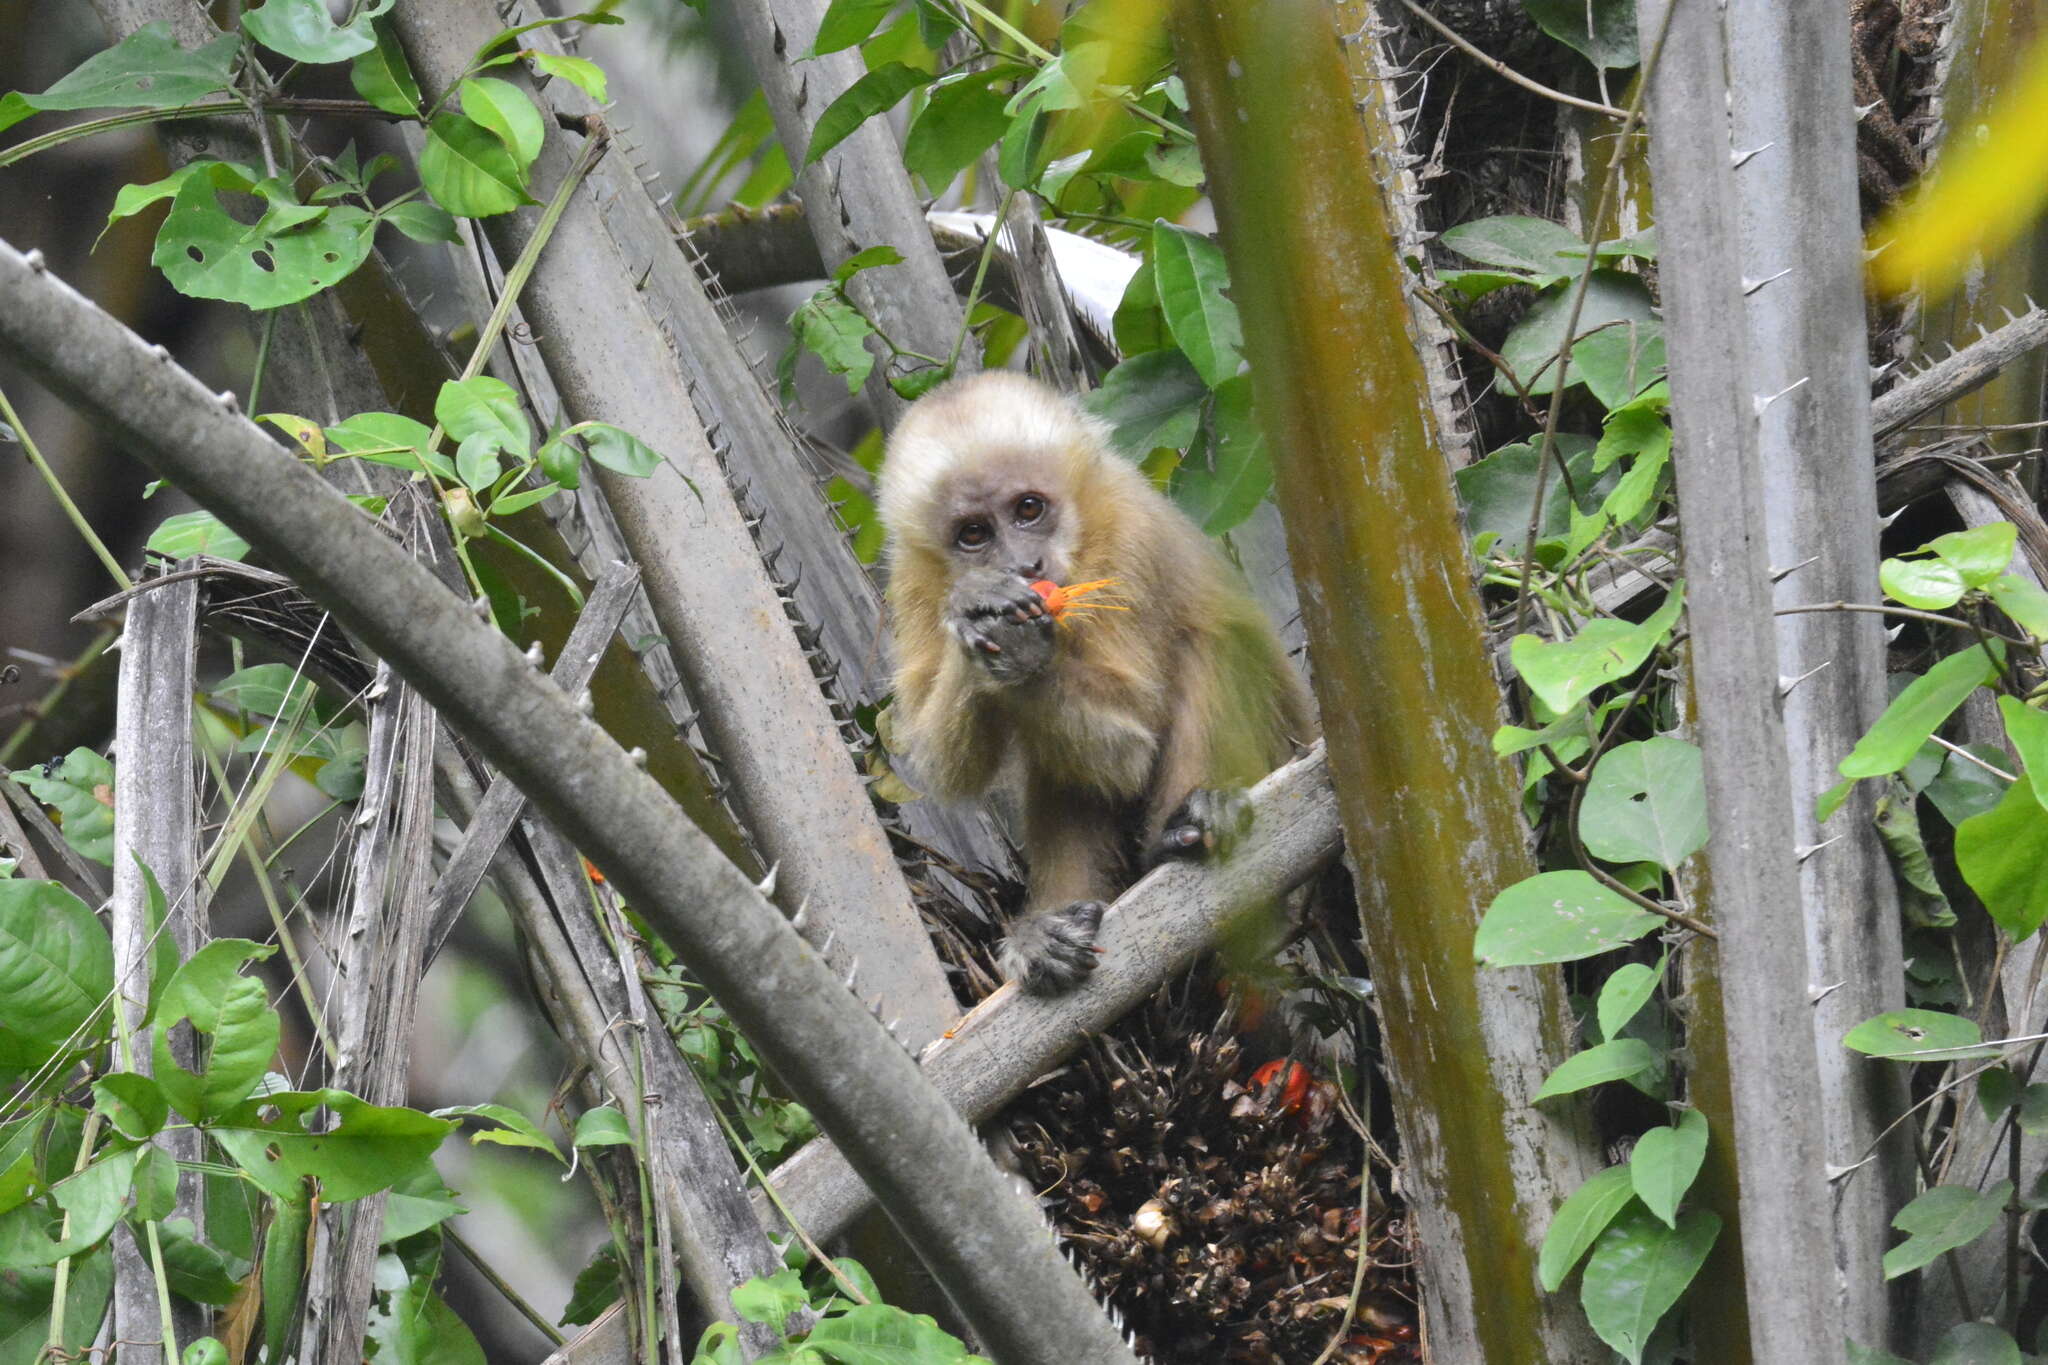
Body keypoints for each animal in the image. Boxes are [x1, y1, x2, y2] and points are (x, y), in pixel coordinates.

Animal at [876, 370, 1310, 994]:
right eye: (974, 534)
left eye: (1029, 509)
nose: (1026, 566)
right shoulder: (913, 576)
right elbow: (944, 767)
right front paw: (984, 617)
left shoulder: (1126, 531)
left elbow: (1134, 746)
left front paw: (1022, 648)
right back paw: (1047, 937)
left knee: (1210, 640)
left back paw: (1190, 832)